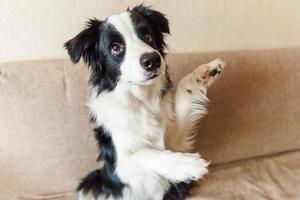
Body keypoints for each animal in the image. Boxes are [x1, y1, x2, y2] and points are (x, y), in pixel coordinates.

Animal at [64, 3, 224, 200]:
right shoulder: (120, 167)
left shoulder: (175, 139)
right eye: (115, 48)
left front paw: (206, 70)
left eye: (148, 36)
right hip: (91, 181)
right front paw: (188, 165)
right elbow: (145, 154)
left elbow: (184, 89)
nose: (153, 60)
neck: (141, 100)